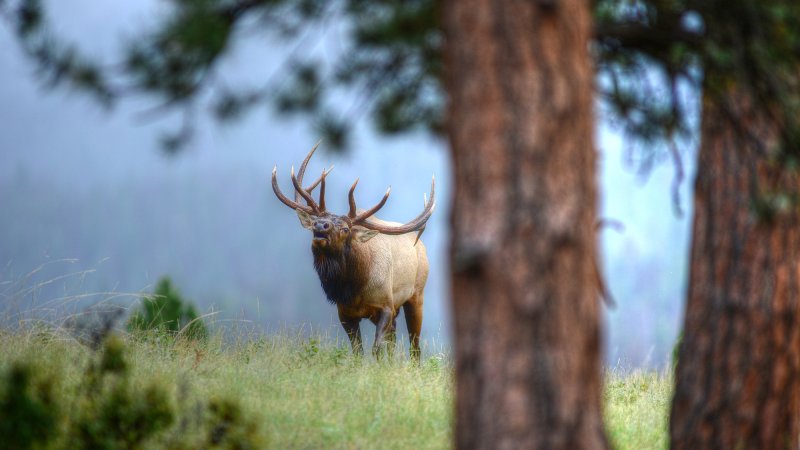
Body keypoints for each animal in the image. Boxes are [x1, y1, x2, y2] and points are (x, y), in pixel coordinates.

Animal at [270, 142, 434, 360]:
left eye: (345, 229)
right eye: (316, 221)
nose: (320, 225)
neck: (355, 288)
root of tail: (421, 245)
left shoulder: (386, 306)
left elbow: (376, 348)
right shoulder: (345, 313)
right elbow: (358, 352)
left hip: (417, 295)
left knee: (414, 346)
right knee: (393, 341)